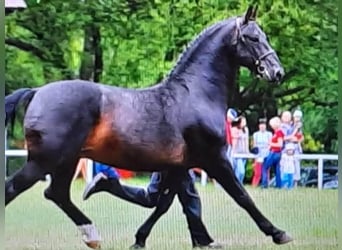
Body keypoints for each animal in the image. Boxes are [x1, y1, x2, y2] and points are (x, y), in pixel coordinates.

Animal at [6, 5, 292, 248]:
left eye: (263, 36)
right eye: (252, 38)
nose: (277, 72)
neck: (195, 94)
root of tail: (36, 92)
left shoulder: (178, 167)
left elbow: (164, 204)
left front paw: (142, 239)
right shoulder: (215, 159)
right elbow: (242, 196)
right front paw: (278, 233)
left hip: (66, 161)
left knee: (56, 193)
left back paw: (93, 233)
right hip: (46, 161)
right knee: (15, 189)